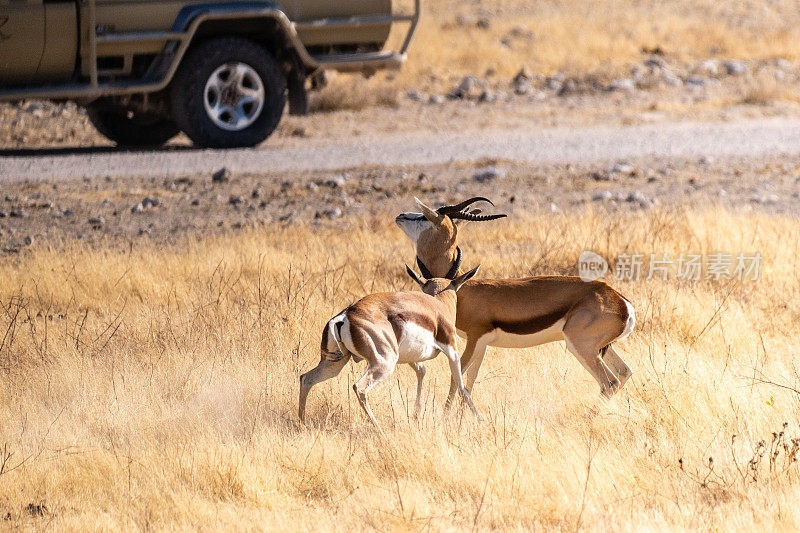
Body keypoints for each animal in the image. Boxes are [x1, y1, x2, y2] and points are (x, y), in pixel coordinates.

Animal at [300, 264, 482, 430]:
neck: (437, 305)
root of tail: (345, 315)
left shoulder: (410, 357)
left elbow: (422, 372)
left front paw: (416, 414)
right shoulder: (452, 350)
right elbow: (460, 385)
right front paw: (478, 418)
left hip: (334, 363)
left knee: (306, 378)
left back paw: (302, 424)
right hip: (385, 363)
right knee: (359, 388)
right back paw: (379, 430)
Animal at [396, 196, 636, 404]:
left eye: (424, 217)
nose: (400, 215)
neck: (460, 287)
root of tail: (622, 302)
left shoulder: (473, 340)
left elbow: (457, 380)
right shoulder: (482, 345)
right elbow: (470, 383)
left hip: (581, 346)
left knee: (610, 382)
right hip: (602, 348)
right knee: (624, 372)